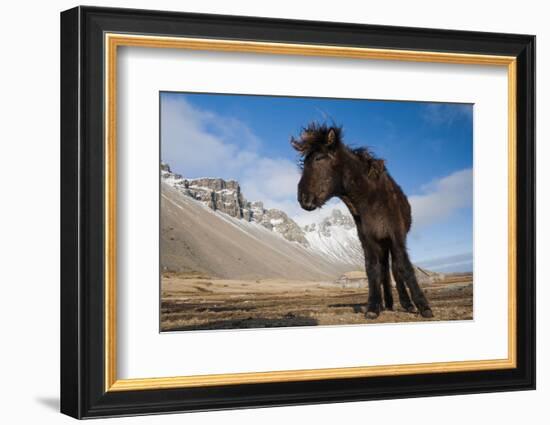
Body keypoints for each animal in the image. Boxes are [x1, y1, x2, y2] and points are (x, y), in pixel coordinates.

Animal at [296, 121, 434, 316]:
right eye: (304, 162)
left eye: (319, 158)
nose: (303, 198)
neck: (371, 199)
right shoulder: (367, 239)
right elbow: (372, 269)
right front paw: (373, 306)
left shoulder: (396, 235)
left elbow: (404, 267)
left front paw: (423, 306)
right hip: (381, 243)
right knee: (384, 271)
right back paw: (388, 303)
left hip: (389, 241)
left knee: (395, 268)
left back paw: (406, 303)